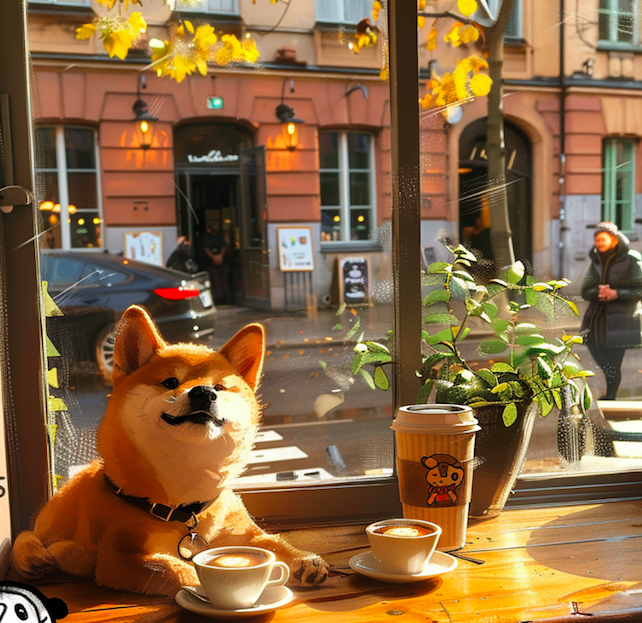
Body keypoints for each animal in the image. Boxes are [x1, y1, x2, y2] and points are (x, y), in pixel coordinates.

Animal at [10, 306, 328, 596]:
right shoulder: (120, 558)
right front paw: (203, 584)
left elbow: (272, 543)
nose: (204, 392)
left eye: (220, 387)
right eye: (171, 382)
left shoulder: (243, 532)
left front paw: (303, 560)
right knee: (32, 535)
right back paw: (40, 555)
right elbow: (173, 567)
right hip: (62, 513)